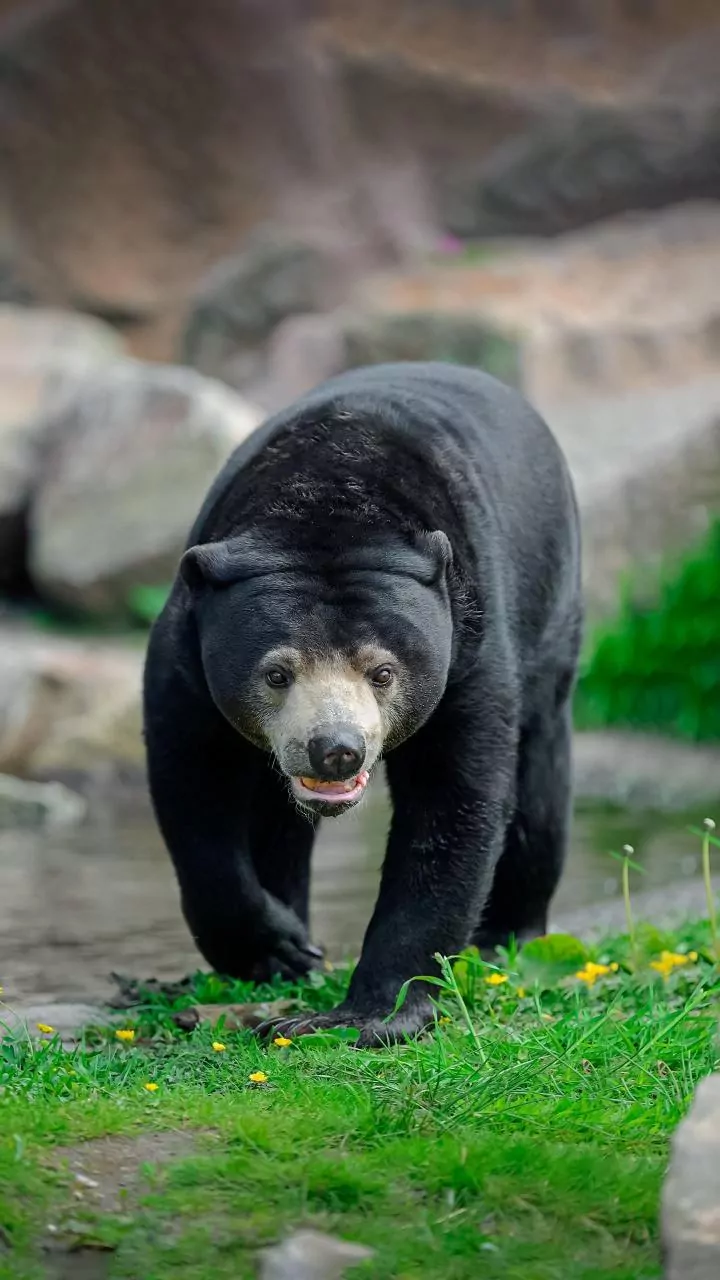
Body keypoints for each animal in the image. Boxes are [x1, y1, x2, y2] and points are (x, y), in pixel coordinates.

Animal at [143, 361, 582, 1047]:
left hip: (553, 615)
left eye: (382, 672)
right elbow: (192, 782)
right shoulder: (187, 654)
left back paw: (505, 934)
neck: (331, 495)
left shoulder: (471, 650)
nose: (336, 750)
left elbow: (452, 804)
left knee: (539, 778)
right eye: (276, 673)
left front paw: (363, 1014)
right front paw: (277, 951)